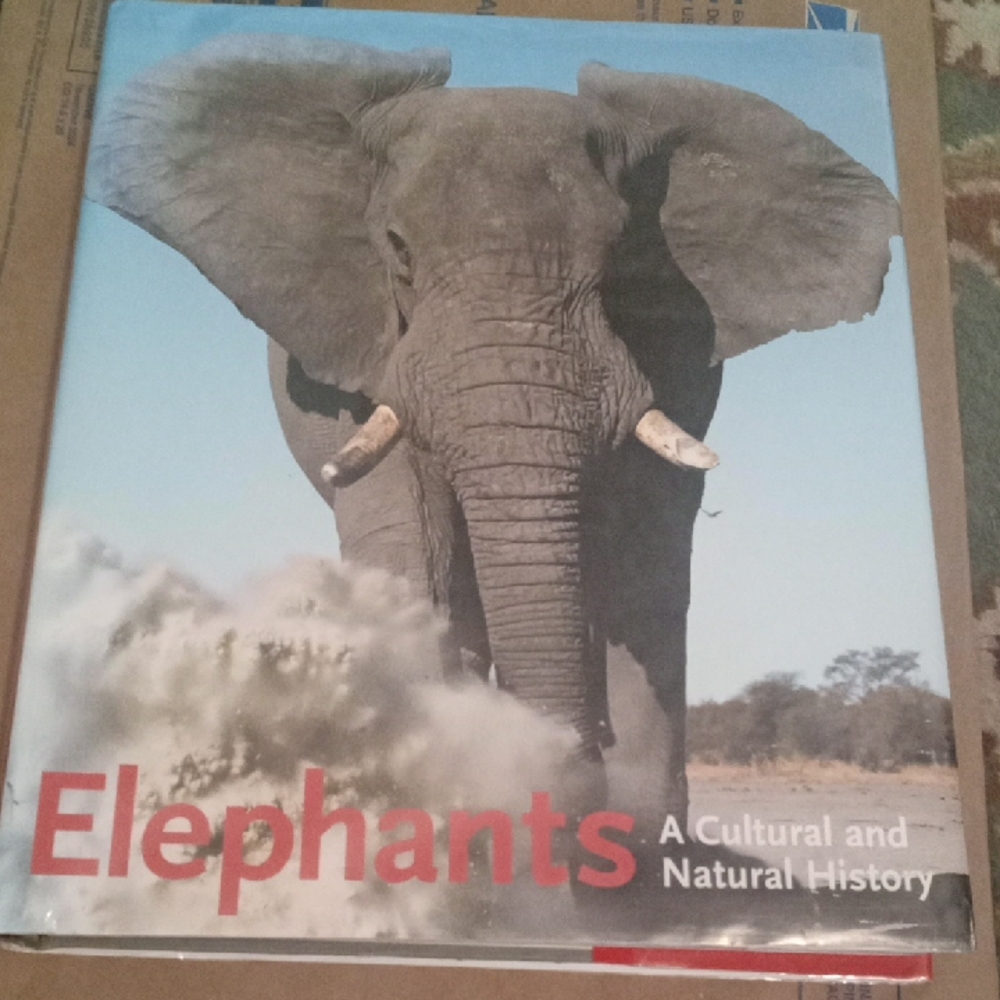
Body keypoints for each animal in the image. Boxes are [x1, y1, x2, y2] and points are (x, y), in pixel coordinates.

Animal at [87, 33, 900, 829]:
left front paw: (633, 846)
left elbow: (643, 556)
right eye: (397, 248)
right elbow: (411, 547)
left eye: (621, 256)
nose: (561, 770)